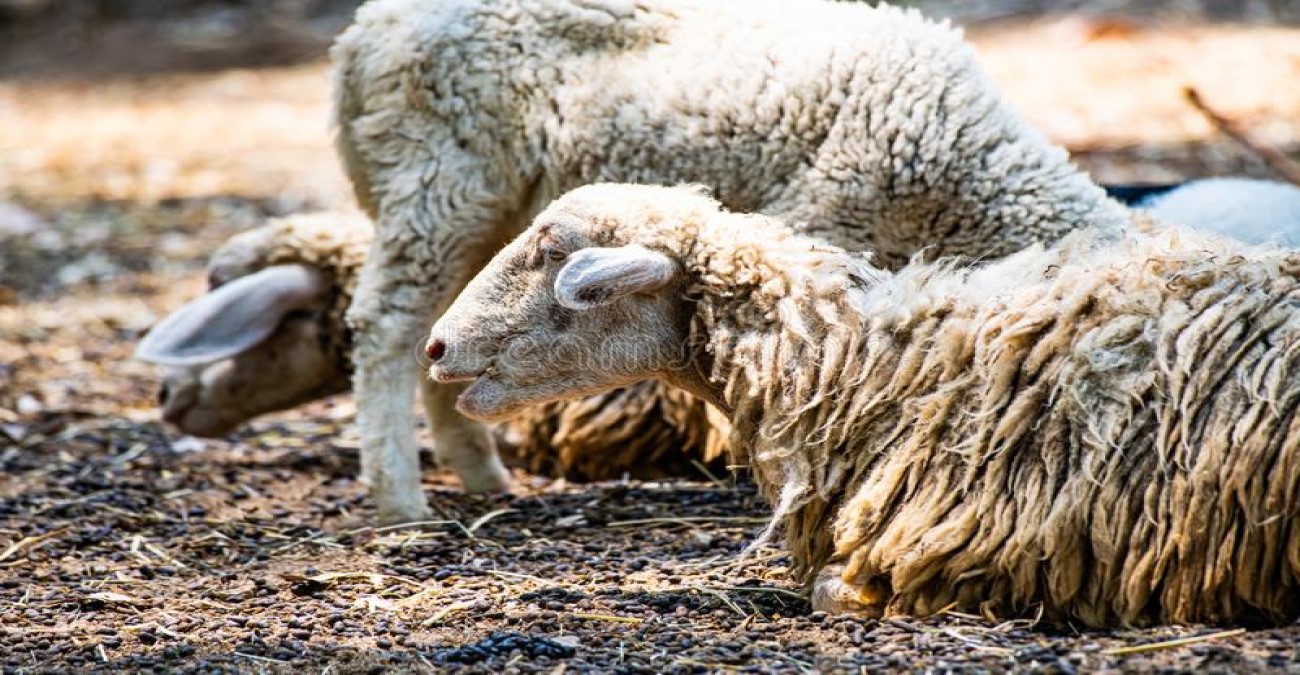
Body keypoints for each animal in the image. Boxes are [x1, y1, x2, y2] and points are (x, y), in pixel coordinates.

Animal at [338, 0, 1138, 522]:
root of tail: (360, 35)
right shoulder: (827, 220)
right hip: (438, 180)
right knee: (386, 328)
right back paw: (401, 499)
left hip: (472, 204)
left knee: (441, 342)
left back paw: (481, 475)